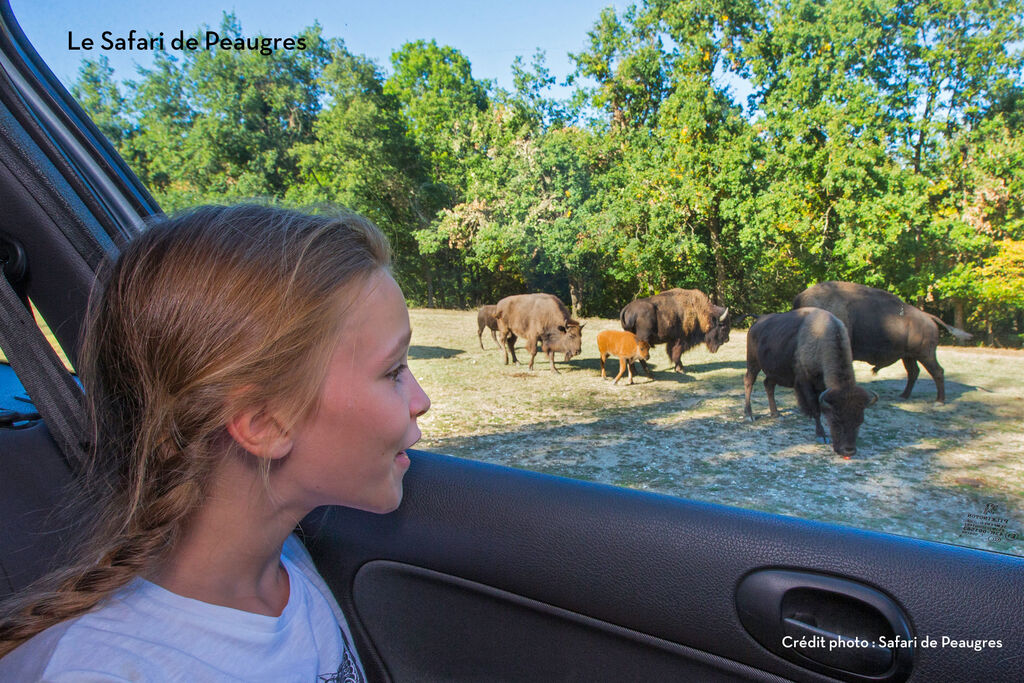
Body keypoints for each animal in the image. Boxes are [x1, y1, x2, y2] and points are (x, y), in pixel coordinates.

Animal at [745, 307, 880, 456]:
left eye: (860, 421)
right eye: (836, 420)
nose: (848, 451)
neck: (821, 338)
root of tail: (758, 319)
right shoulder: (806, 382)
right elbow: (815, 408)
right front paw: (821, 435)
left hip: (773, 371)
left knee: (768, 384)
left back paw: (775, 413)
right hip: (753, 363)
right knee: (749, 382)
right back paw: (749, 415)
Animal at [794, 280, 970, 403]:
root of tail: (929, 317)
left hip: (925, 354)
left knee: (937, 371)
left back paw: (939, 401)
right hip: (908, 356)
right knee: (914, 372)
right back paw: (903, 396)